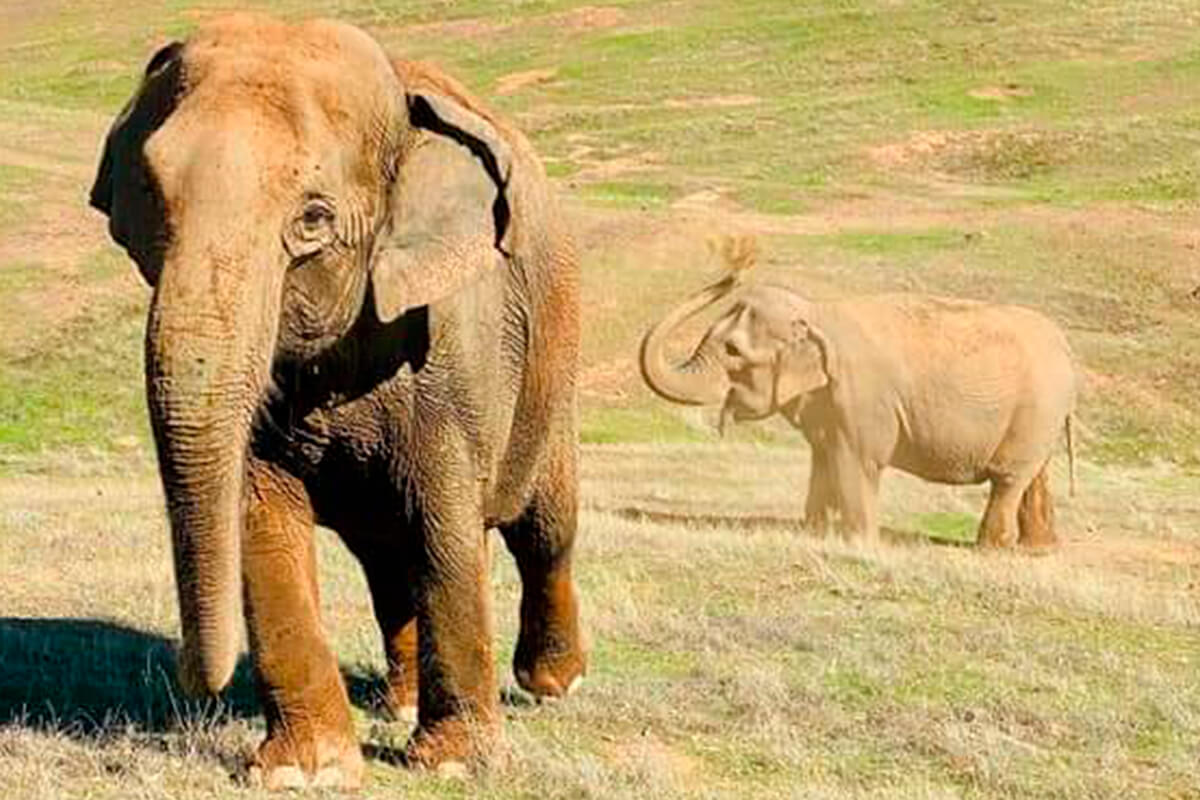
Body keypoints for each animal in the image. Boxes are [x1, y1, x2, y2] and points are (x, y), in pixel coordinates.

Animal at [88, 15, 585, 791]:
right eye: (150, 195)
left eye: (314, 219)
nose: (190, 680)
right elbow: (259, 516)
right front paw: (302, 773)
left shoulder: (458, 339)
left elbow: (446, 522)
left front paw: (454, 766)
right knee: (389, 562)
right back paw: (398, 703)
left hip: (550, 372)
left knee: (543, 528)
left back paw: (552, 684)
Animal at [643, 267, 1084, 544]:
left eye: (733, 350)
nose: (733, 274)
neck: (819, 311)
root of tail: (1065, 347)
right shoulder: (827, 406)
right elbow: (822, 460)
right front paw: (815, 534)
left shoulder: (863, 400)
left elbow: (857, 462)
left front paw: (862, 544)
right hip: (1039, 417)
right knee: (1033, 476)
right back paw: (1039, 548)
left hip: (1035, 412)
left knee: (1009, 480)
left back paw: (993, 548)